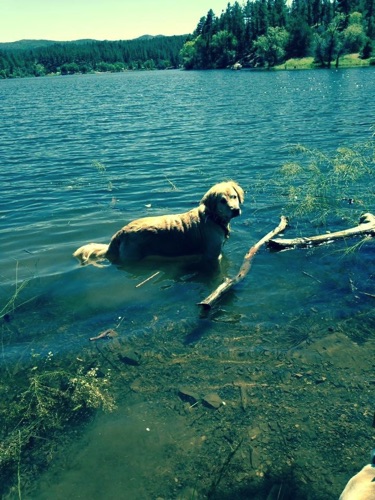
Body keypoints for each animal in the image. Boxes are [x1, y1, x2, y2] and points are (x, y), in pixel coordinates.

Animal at [74, 180, 245, 266]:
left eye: (234, 197)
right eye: (222, 201)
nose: (236, 210)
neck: (213, 218)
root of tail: (120, 232)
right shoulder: (212, 255)